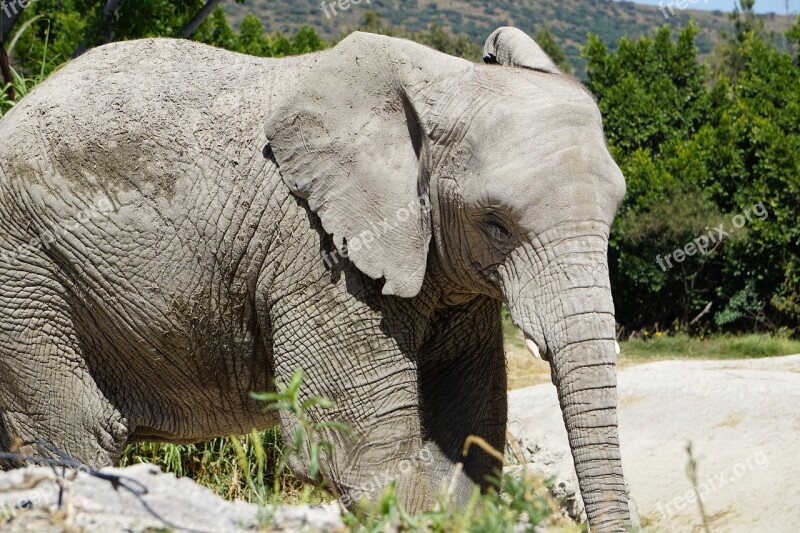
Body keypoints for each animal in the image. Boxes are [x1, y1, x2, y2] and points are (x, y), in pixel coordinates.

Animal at [1, 27, 632, 528]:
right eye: (496, 224)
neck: (441, 81)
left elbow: (467, 442)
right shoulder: (317, 256)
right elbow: (369, 459)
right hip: (26, 276)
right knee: (77, 433)